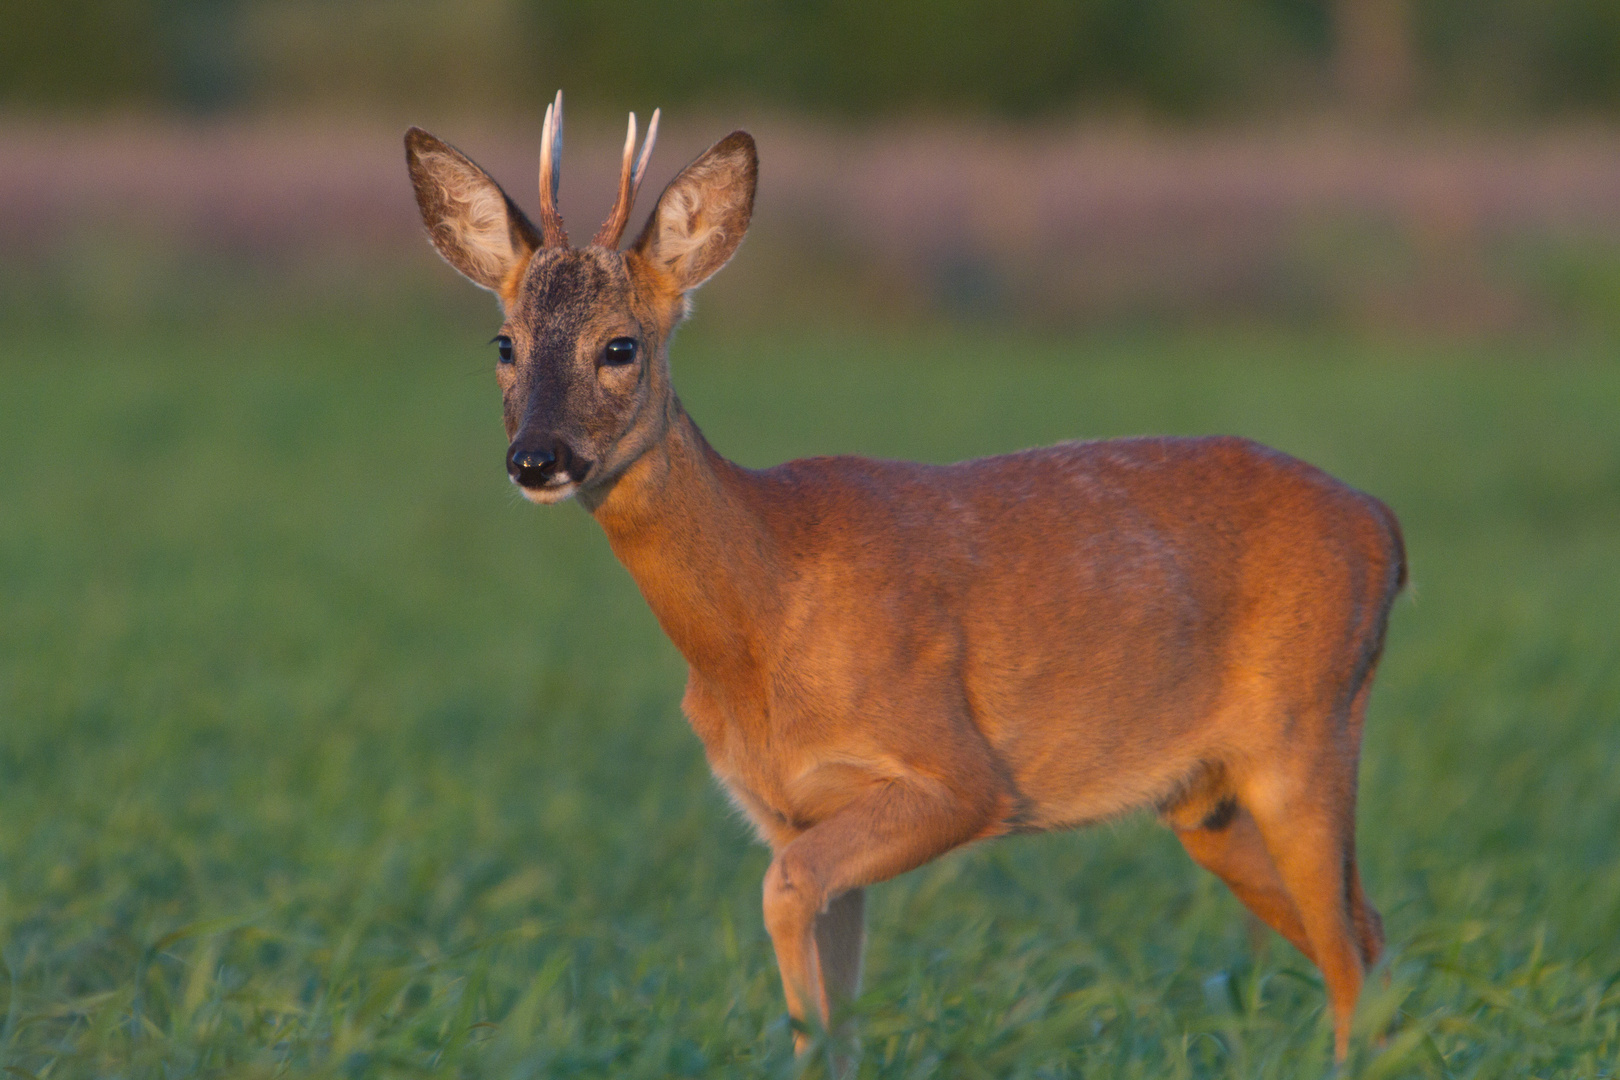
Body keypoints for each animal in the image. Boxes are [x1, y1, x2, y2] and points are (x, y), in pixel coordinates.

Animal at [405, 95, 1406, 1062]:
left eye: (619, 346)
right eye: (504, 342)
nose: (537, 459)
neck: (762, 618)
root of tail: (1384, 528)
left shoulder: (959, 775)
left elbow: (786, 898)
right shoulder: (792, 809)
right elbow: (831, 1003)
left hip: (1304, 735)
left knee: (1352, 960)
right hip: (1211, 805)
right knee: (1373, 936)